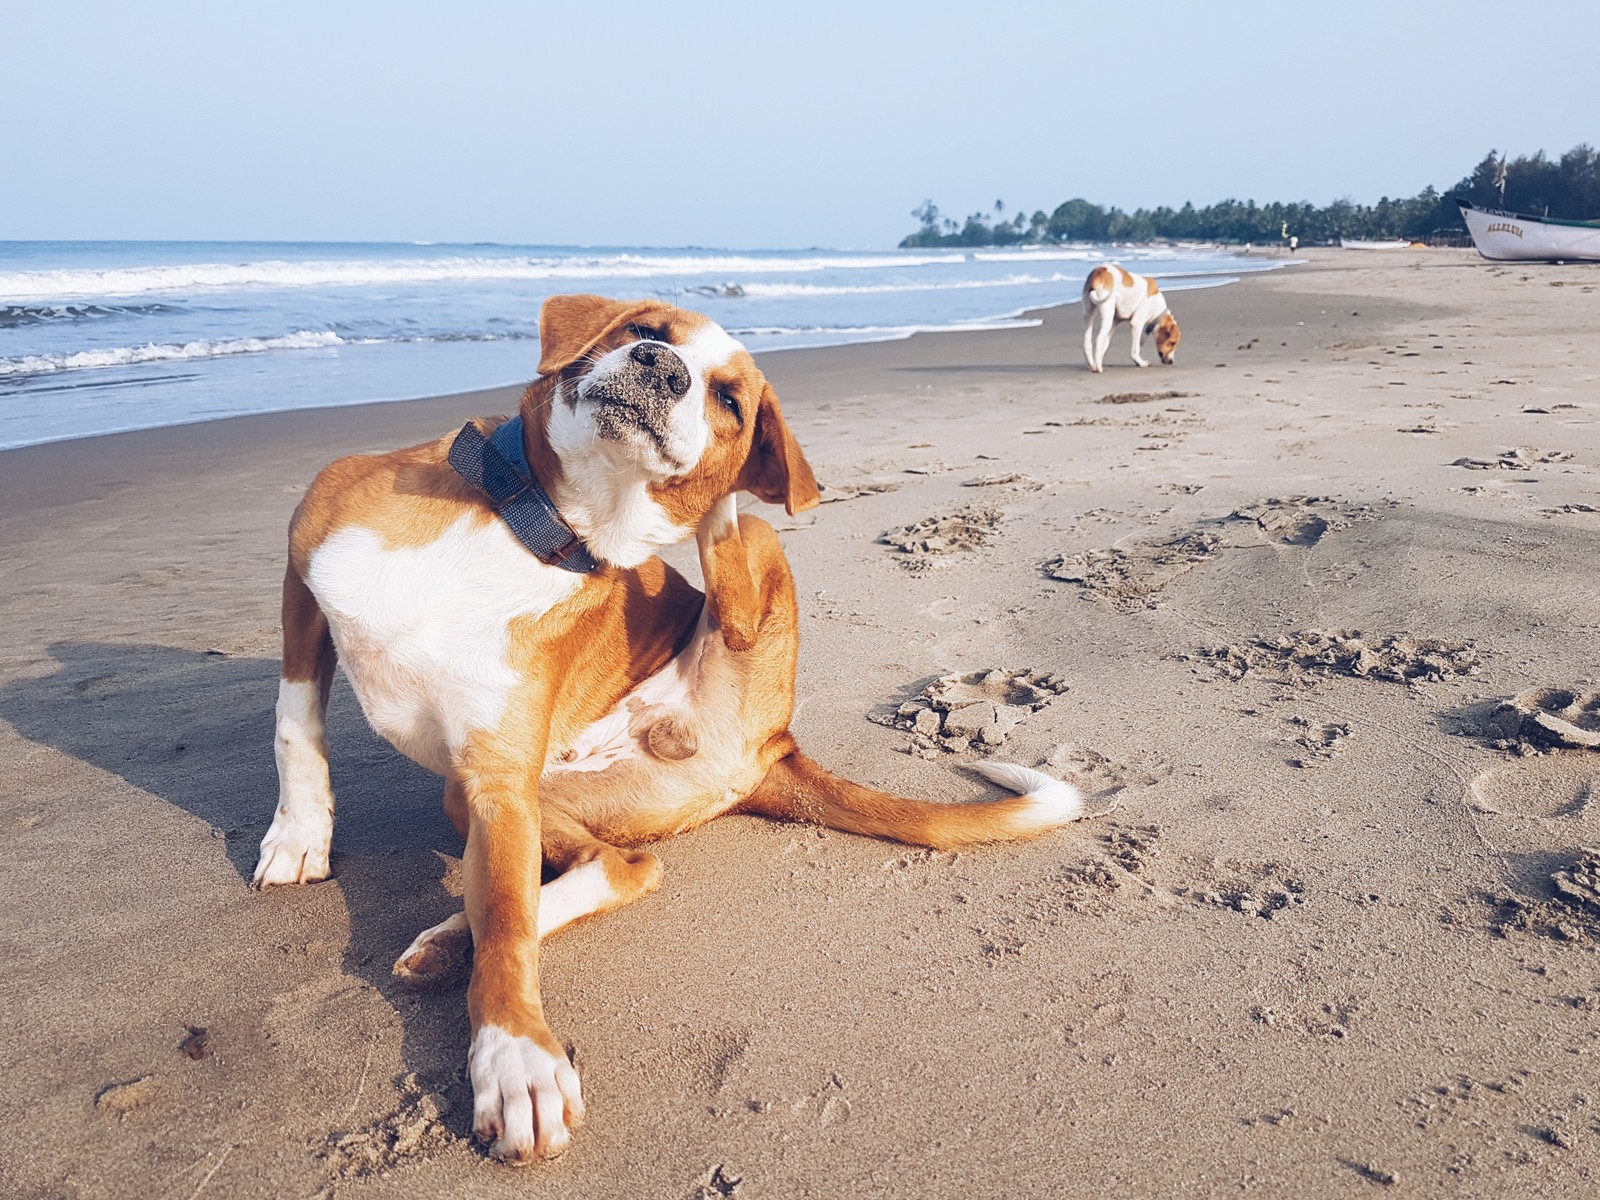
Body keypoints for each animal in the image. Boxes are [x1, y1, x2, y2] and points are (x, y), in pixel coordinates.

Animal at [256, 299, 1088, 1164]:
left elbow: (512, 930)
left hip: (742, 569)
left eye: (730, 400)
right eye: (643, 329)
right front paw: (299, 838)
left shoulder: (498, 786)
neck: (536, 524)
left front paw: (515, 1058)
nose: (663, 369)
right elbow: (296, 723)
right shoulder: (306, 585)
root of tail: (775, 748)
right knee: (605, 867)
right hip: (499, 795)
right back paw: (453, 940)